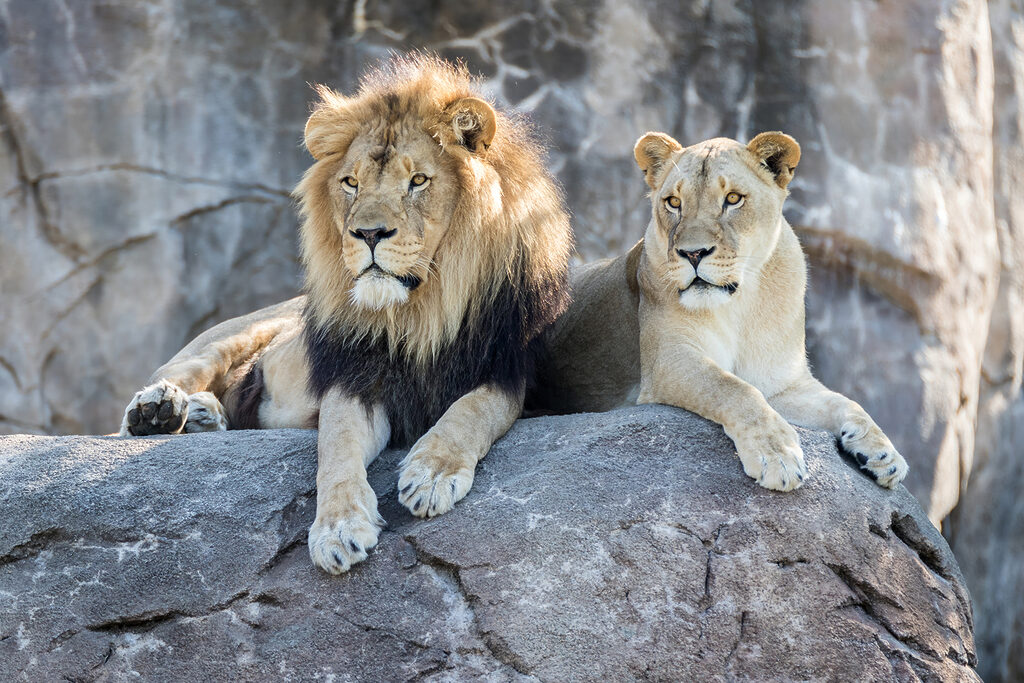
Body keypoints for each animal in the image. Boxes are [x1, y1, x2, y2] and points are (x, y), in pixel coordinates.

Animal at [119, 56, 572, 575]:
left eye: (418, 181)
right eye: (351, 183)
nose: (368, 233)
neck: (419, 313)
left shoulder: (508, 371)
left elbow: (472, 410)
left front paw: (431, 474)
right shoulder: (353, 377)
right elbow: (335, 447)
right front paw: (337, 529)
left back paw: (201, 416)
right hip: (227, 338)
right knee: (169, 382)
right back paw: (159, 411)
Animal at [535, 131, 909, 492]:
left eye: (733, 199)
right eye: (674, 202)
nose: (693, 253)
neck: (741, 304)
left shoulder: (782, 383)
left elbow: (845, 402)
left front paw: (884, 454)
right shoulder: (669, 360)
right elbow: (733, 388)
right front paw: (777, 455)